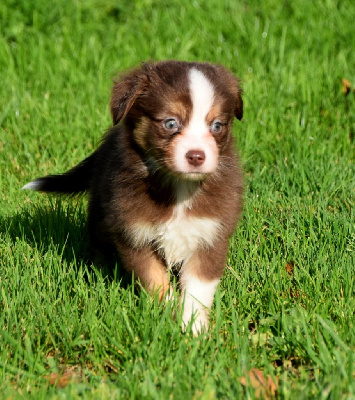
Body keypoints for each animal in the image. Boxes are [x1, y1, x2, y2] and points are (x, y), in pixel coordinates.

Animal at [23, 60, 245, 334]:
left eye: (217, 126)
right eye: (170, 123)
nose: (196, 156)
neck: (178, 188)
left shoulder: (210, 235)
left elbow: (198, 290)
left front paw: (193, 330)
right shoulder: (134, 234)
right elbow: (155, 281)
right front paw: (167, 317)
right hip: (100, 214)